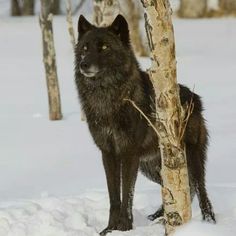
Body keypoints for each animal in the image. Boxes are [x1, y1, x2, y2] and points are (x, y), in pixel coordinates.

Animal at [74, 14, 216, 234]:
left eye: (104, 47)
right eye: (85, 48)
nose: (84, 64)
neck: (108, 100)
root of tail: (195, 98)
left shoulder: (128, 153)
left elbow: (127, 195)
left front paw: (124, 227)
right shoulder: (108, 153)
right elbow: (114, 196)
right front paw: (110, 229)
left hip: (190, 158)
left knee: (200, 190)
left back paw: (208, 222)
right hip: (152, 167)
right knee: (178, 189)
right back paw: (161, 216)